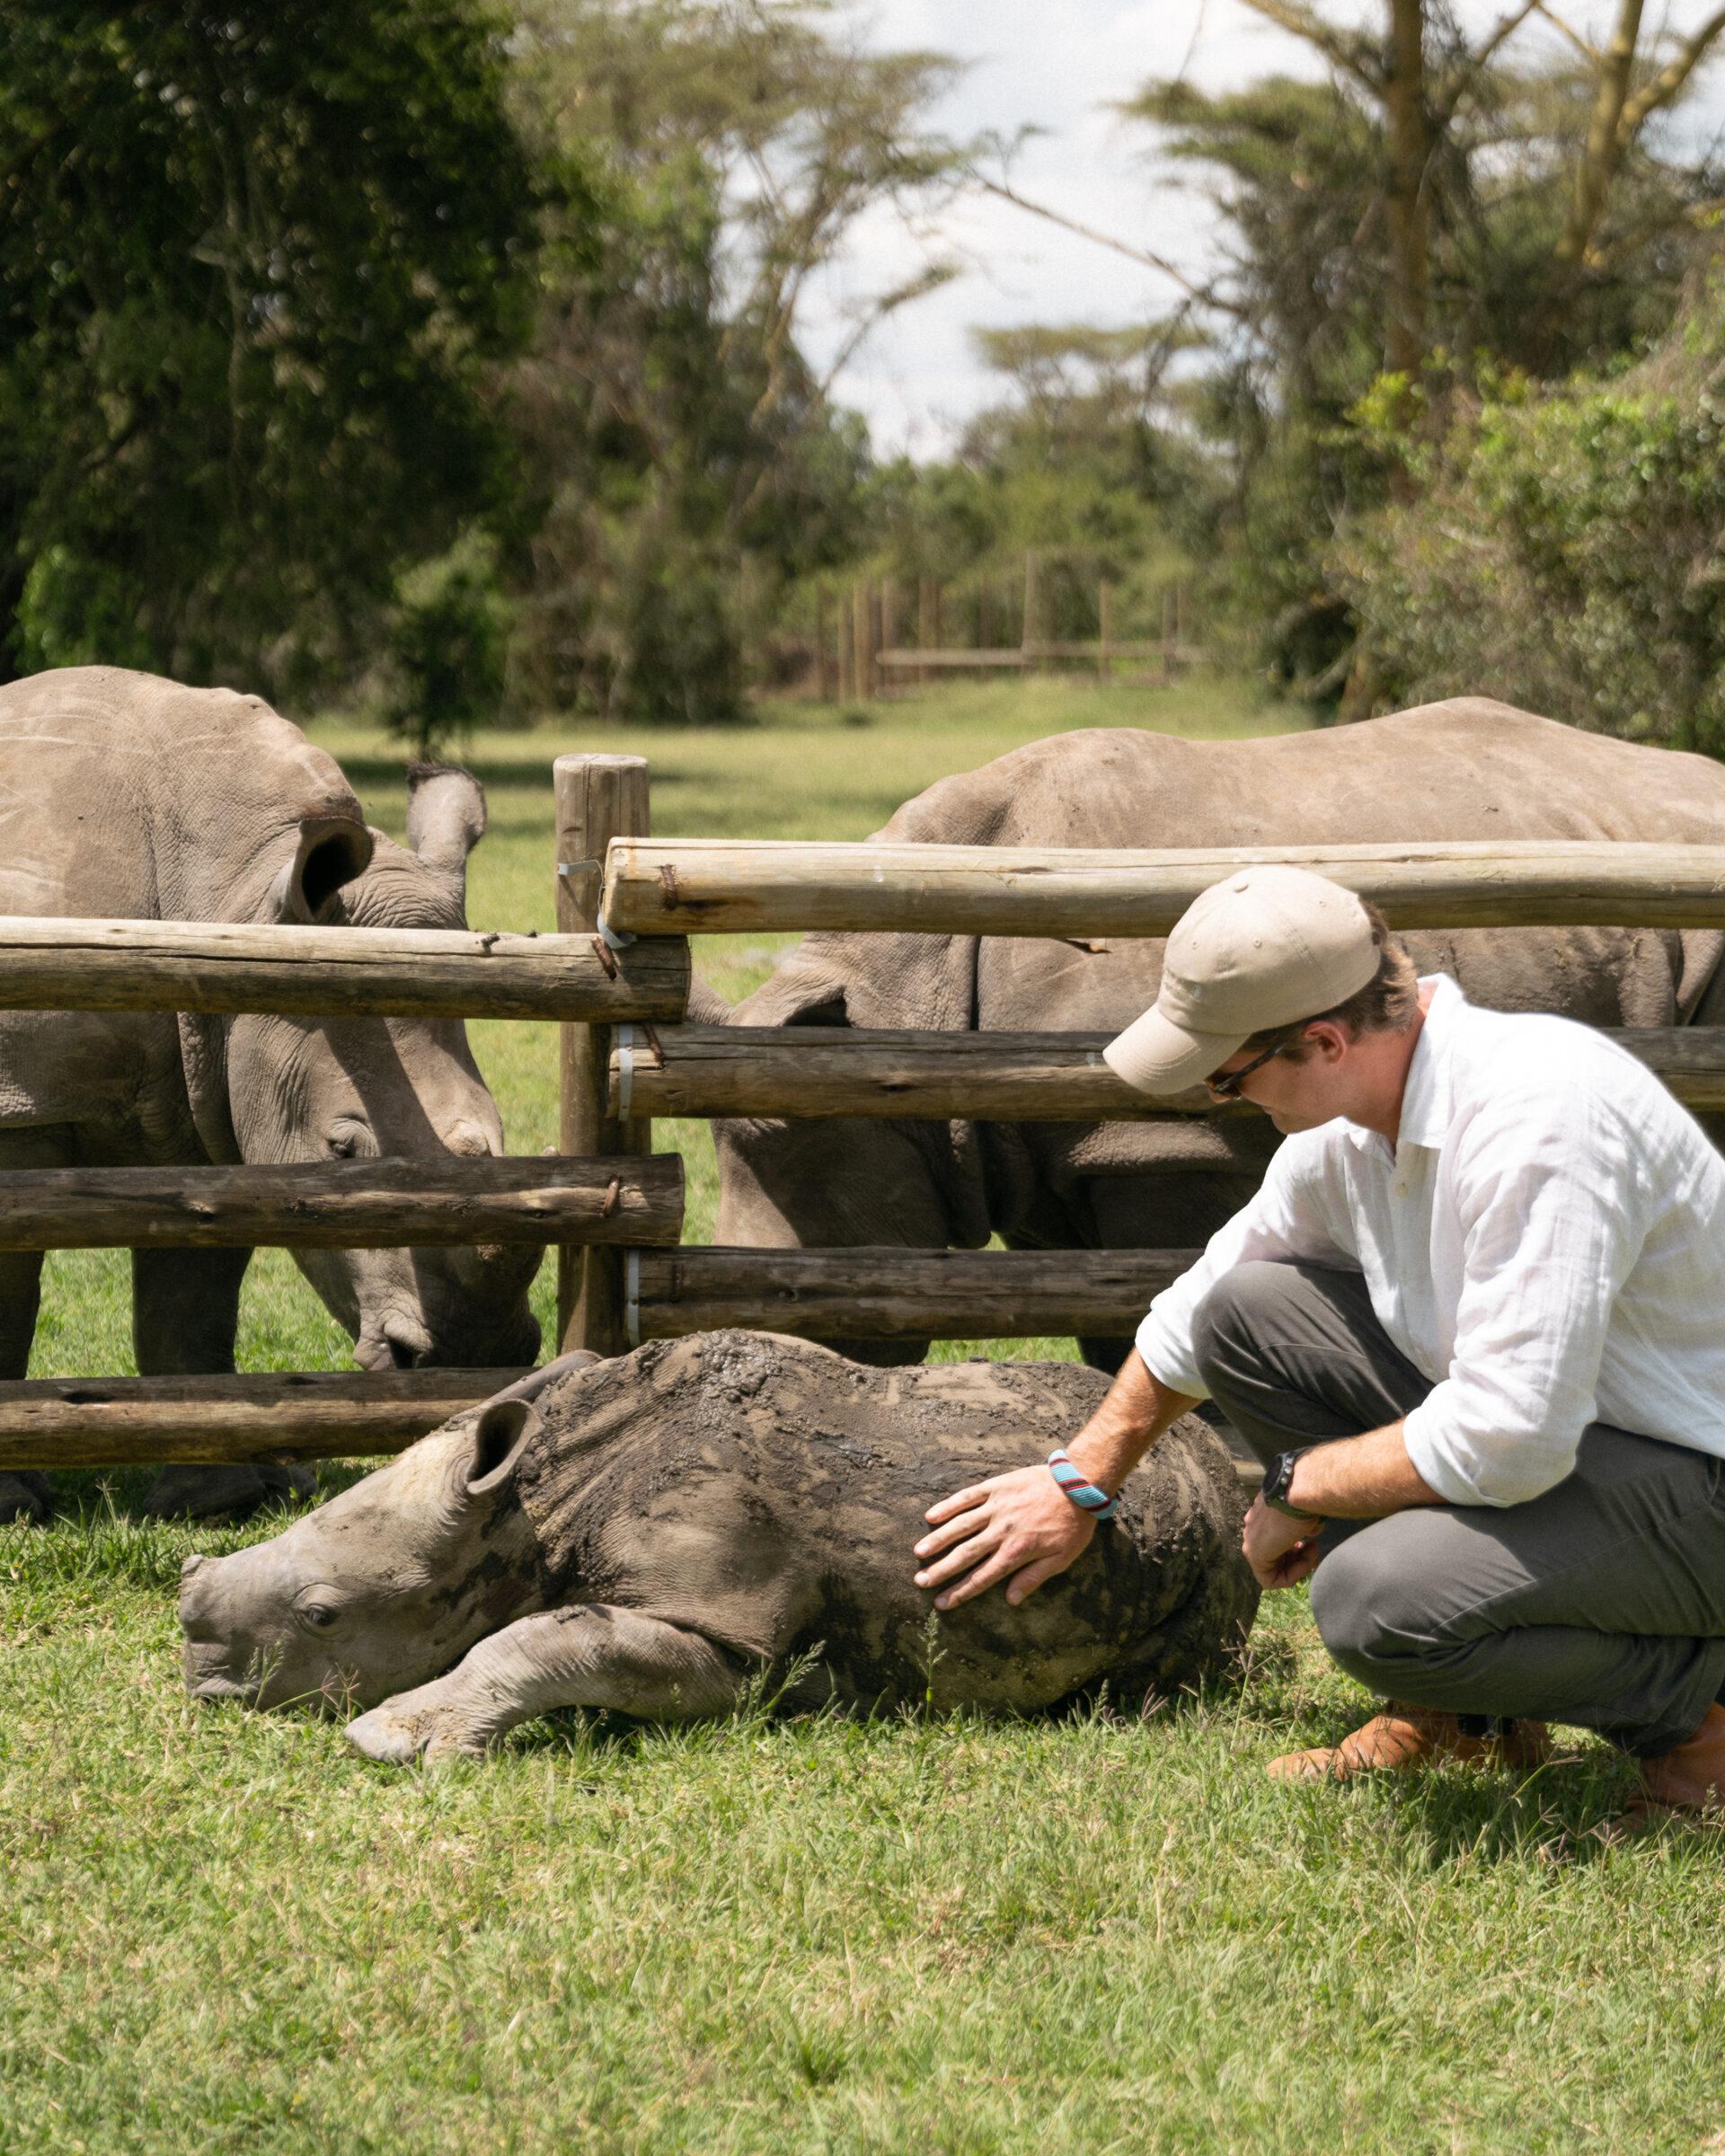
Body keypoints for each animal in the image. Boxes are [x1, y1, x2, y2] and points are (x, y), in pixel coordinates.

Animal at [0, 664, 539, 1526]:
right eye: (341, 1149)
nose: (475, 1362)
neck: (239, 895)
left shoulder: (211, 1093)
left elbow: (192, 1298)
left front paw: (218, 1502)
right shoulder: (27, 1094)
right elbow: (11, 1290)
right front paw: (14, 1506)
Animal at [181, 1328, 1259, 1768]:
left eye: (323, 1616)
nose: (203, 1689)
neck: (537, 1501)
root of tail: (1216, 1455)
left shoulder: (729, 1631)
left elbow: (541, 1638)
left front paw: (389, 1740)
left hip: (1217, 1554)